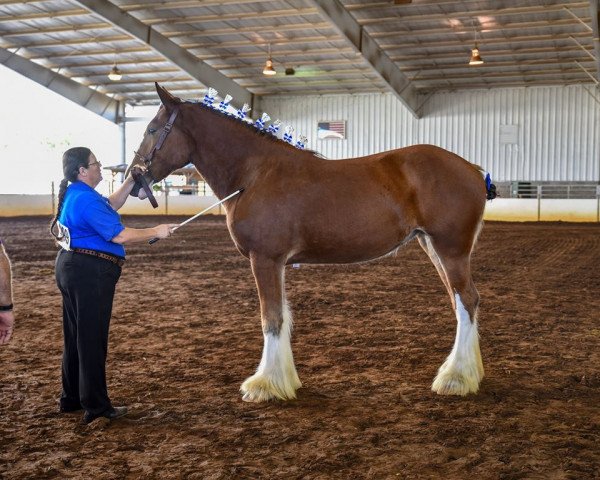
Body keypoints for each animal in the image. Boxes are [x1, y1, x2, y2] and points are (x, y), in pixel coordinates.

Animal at [129, 84, 490, 404]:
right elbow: (282, 317)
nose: (134, 178)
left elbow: (271, 319)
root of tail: (473, 169)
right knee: (461, 303)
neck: (255, 174)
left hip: (451, 250)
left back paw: (456, 378)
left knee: (467, 300)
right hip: (433, 247)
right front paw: (285, 380)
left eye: (152, 129)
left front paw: (265, 385)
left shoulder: (265, 259)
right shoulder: (275, 263)